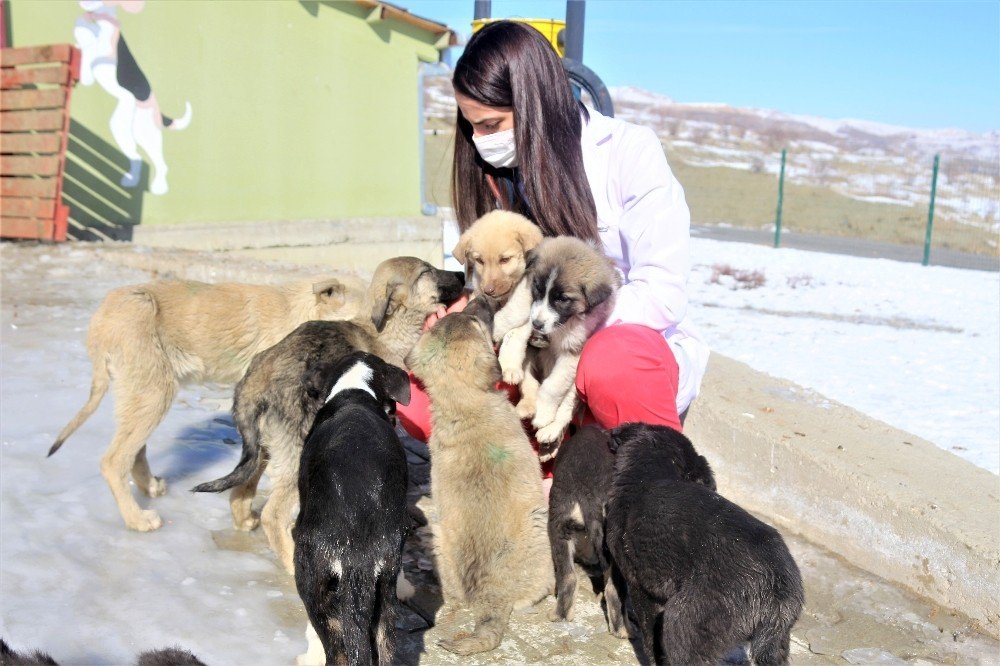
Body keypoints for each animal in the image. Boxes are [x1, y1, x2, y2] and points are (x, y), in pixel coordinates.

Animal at [48, 274, 360, 528]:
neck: (301, 310)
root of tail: (101, 317)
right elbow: (253, 473)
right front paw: (244, 516)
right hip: (154, 392)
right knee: (113, 460)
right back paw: (137, 519)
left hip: (139, 393)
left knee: (134, 449)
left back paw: (149, 488)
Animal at [600, 422, 804, 660]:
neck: (650, 474)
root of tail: (777, 581)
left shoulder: (641, 589)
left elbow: (649, 640)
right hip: (776, 642)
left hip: (682, 622)